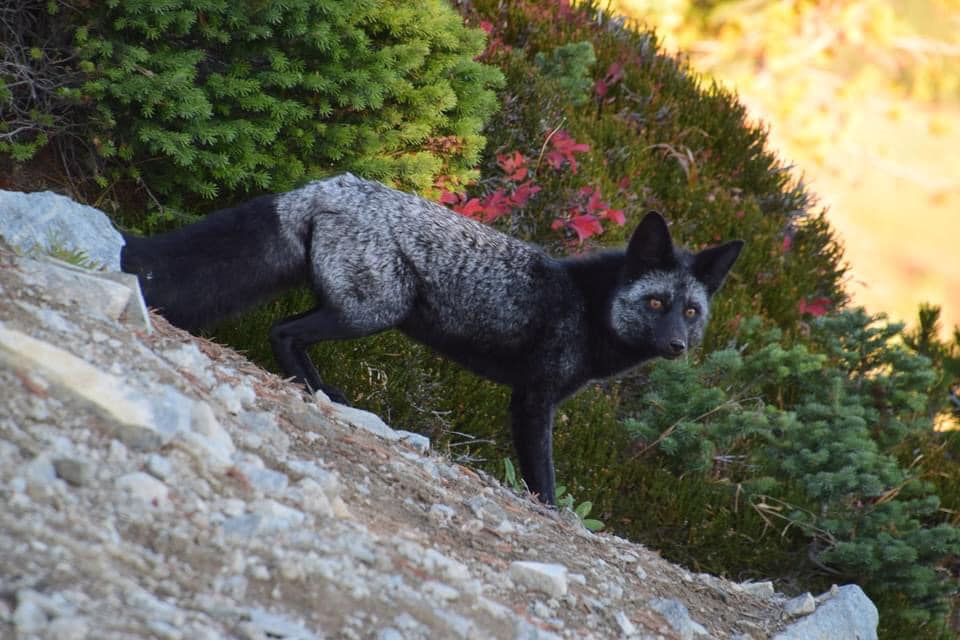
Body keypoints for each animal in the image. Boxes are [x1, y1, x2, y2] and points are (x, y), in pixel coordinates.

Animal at [120, 174, 748, 504]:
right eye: (657, 304)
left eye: (691, 311)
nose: (677, 346)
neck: (588, 307)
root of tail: (329, 186)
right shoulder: (533, 398)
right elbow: (543, 478)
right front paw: (553, 511)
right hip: (375, 310)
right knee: (283, 331)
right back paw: (319, 391)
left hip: (351, 304)